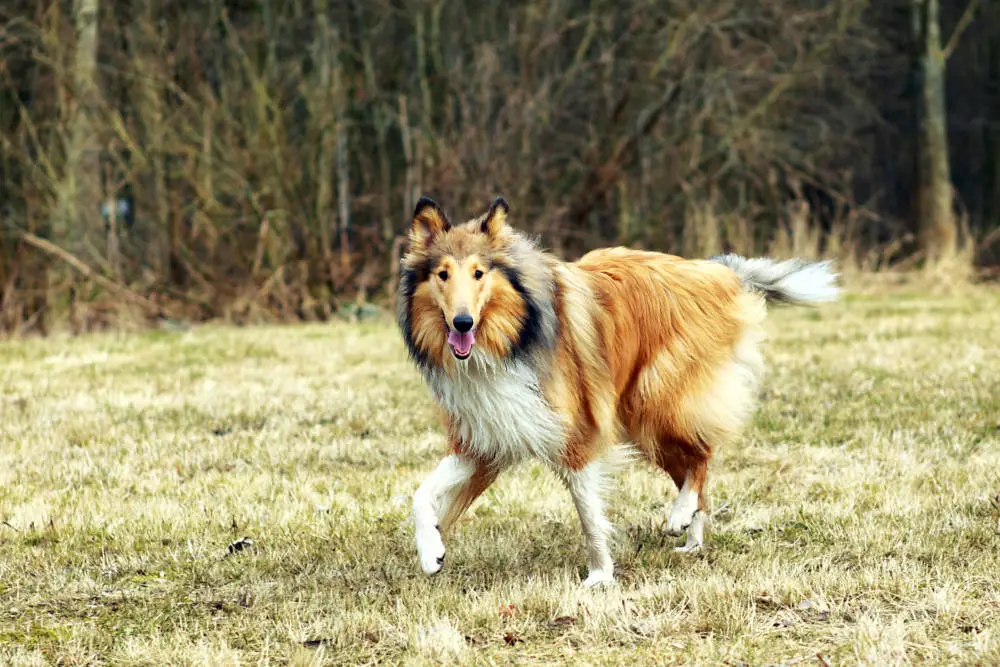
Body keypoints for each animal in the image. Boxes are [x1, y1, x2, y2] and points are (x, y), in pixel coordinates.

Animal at [394, 196, 840, 588]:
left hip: (656, 400)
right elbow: (421, 493)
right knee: (694, 475)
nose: (462, 323)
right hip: (643, 424)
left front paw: (600, 576)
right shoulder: (486, 436)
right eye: (442, 274)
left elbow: (589, 516)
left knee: (702, 455)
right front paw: (431, 552)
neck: (512, 337)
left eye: (479, 273)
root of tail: (715, 270)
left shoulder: (575, 436)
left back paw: (679, 516)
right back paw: (691, 539)